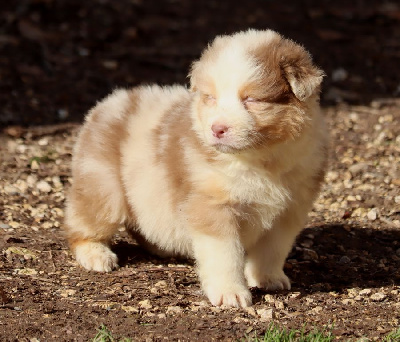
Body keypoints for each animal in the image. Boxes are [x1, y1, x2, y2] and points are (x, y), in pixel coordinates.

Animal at [65, 29, 328, 308]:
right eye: (211, 97)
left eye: (252, 99)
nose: (217, 129)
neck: (260, 160)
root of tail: (109, 101)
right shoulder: (213, 207)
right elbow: (225, 254)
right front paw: (230, 293)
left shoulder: (289, 211)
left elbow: (273, 250)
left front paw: (269, 279)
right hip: (103, 187)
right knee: (83, 224)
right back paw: (96, 255)